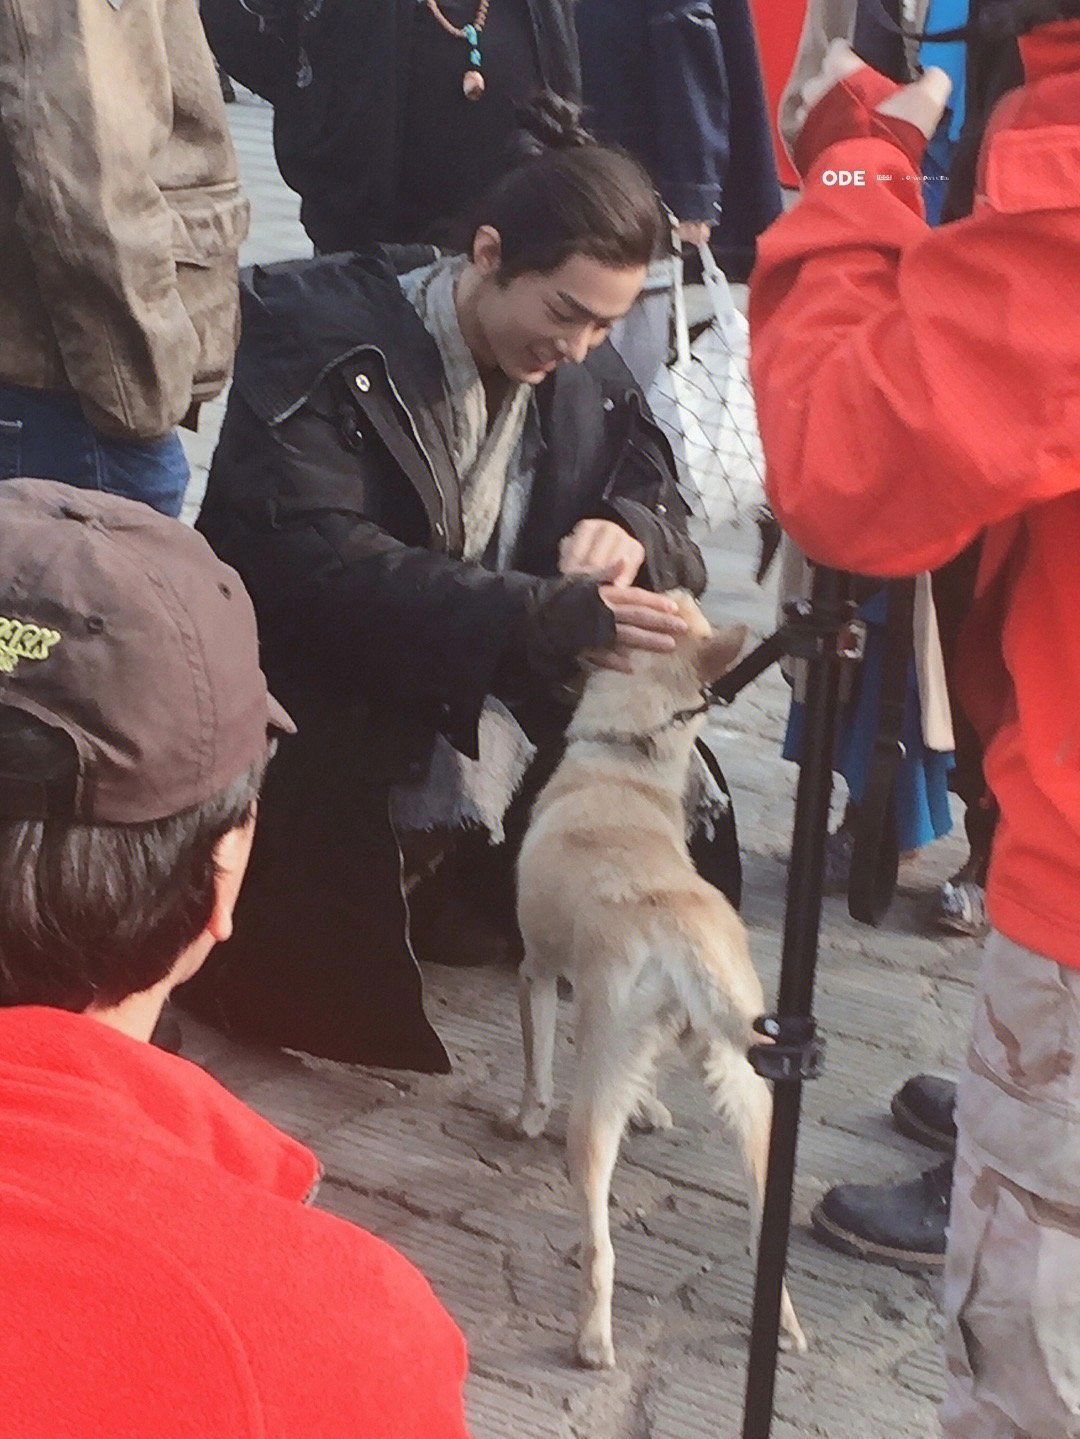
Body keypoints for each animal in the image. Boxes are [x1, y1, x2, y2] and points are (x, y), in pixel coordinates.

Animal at [503, 589, 805, 1364]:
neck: (624, 766)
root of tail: (682, 930)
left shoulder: (537, 971)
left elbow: (535, 1063)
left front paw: (524, 1117)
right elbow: (652, 1076)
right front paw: (652, 1106)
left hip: (593, 1104)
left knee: (600, 1246)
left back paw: (591, 1339)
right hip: (750, 1096)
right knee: (762, 1230)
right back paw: (783, 1324)